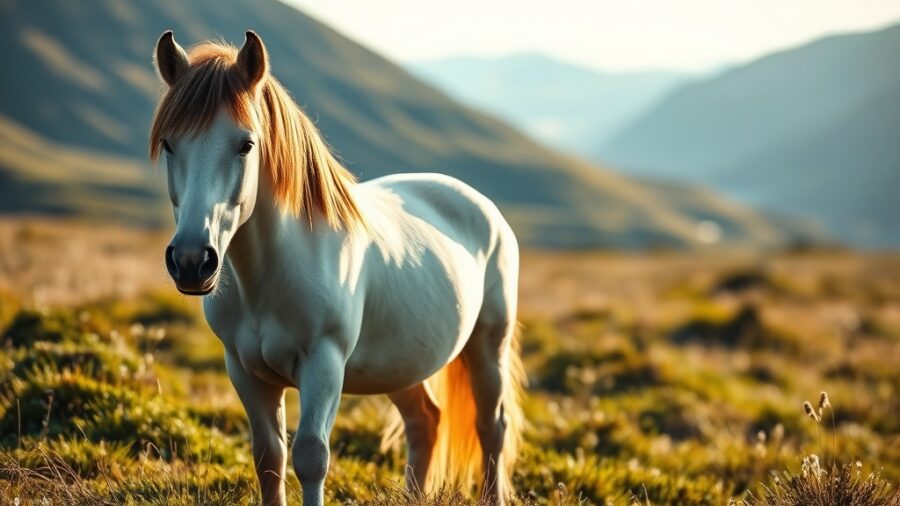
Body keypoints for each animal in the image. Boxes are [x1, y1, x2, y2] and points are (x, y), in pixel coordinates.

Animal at [149, 30, 524, 506]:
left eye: (245, 144)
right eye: (169, 143)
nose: (192, 262)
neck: (273, 272)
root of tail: (480, 204)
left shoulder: (323, 365)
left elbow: (311, 456)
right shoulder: (246, 372)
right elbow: (269, 458)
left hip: (489, 344)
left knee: (491, 427)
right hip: (402, 362)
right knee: (425, 420)